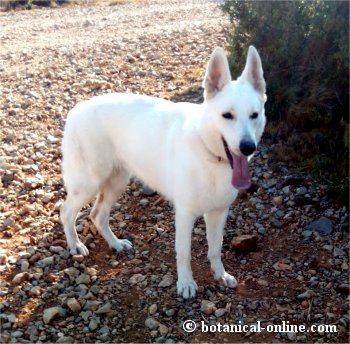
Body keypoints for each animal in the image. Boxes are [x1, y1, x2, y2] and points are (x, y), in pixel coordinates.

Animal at [61, 45, 266, 298]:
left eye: (254, 115)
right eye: (227, 115)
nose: (248, 147)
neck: (209, 154)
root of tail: (78, 108)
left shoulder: (218, 212)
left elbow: (215, 249)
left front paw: (221, 275)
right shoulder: (185, 215)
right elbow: (184, 252)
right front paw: (186, 283)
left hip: (117, 182)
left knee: (97, 214)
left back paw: (115, 243)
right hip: (88, 183)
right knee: (66, 212)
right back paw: (75, 245)